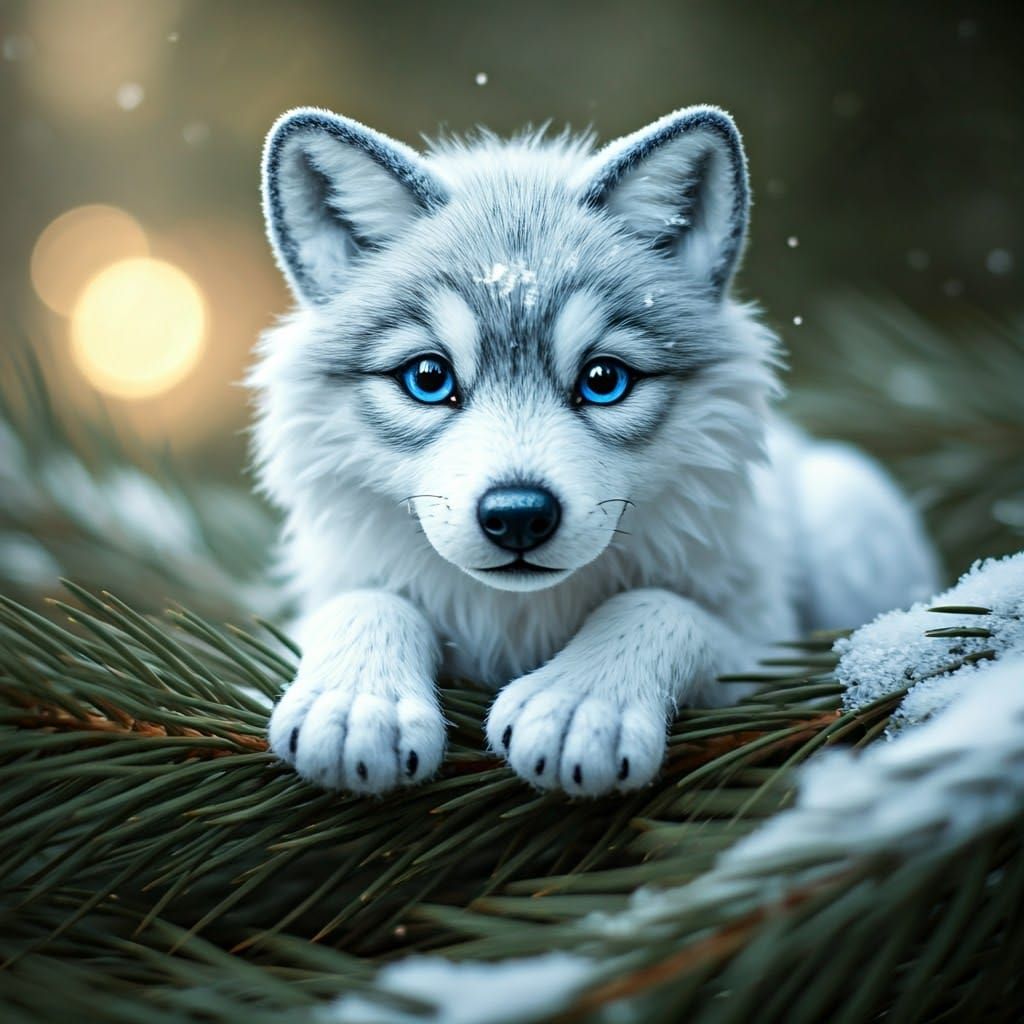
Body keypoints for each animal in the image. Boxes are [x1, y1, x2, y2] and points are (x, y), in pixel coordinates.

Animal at [250, 105, 939, 797]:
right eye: (428, 377)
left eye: (604, 380)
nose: (518, 516)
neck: (519, 620)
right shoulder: (318, 595)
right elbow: (366, 602)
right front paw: (356, 707)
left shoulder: (767, 651)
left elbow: (654, 607)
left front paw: (578, 705)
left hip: (848, 502)